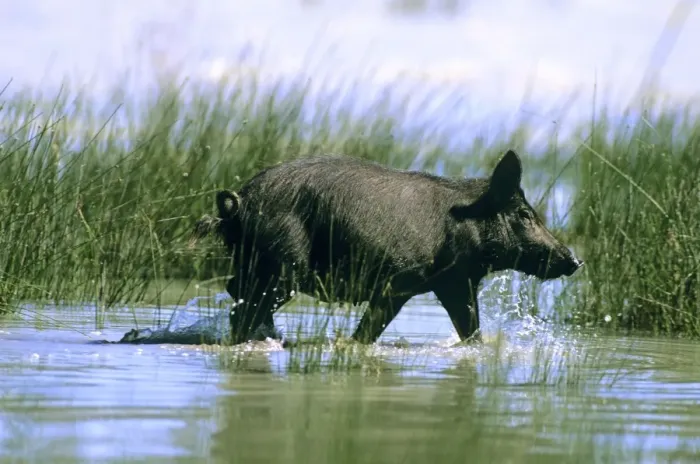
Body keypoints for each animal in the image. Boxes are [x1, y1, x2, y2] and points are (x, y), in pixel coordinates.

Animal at [190, 149, 583, 346]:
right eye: (525, 214)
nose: (575, 260)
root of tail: (238, 203)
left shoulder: (454, 282)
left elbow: (470, 329)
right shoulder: (401, 281)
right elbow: (372, 328)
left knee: (236, 293)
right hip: (283, 263)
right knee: (245, 305)